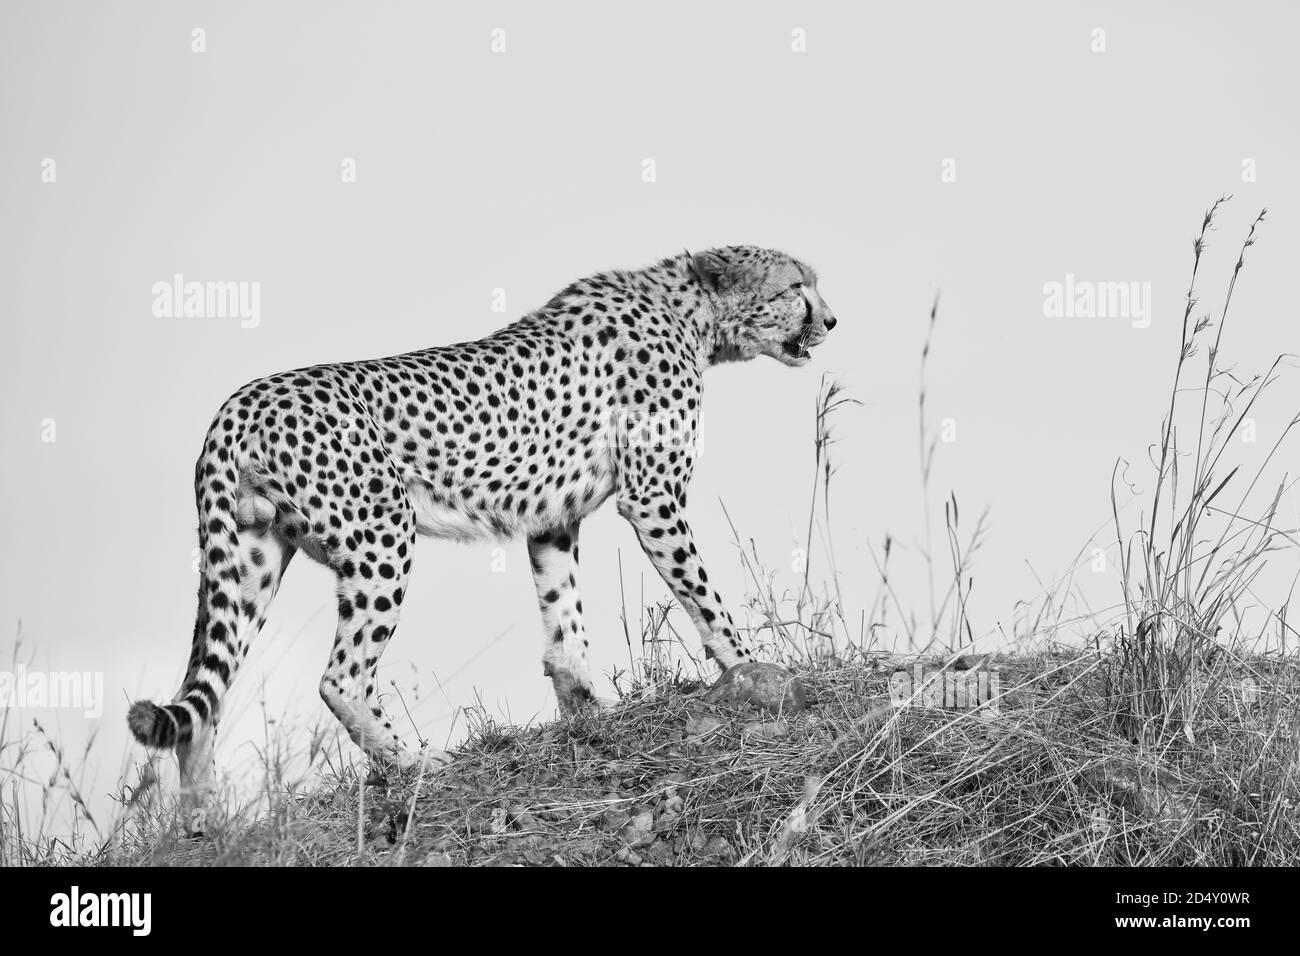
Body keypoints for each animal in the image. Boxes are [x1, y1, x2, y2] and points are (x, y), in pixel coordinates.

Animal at [129, 244, 832, 790]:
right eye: (794, 286)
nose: (831, 318)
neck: (690, 310)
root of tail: (240, 402)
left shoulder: (553, 518)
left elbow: (565, 622)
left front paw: (587, 712)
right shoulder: (653, 497)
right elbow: (705, 597)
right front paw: (752, 670)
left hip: (250, 558)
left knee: (204, 696)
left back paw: (207, 822)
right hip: (382, 535)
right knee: (340, 677)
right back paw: (415, 764)